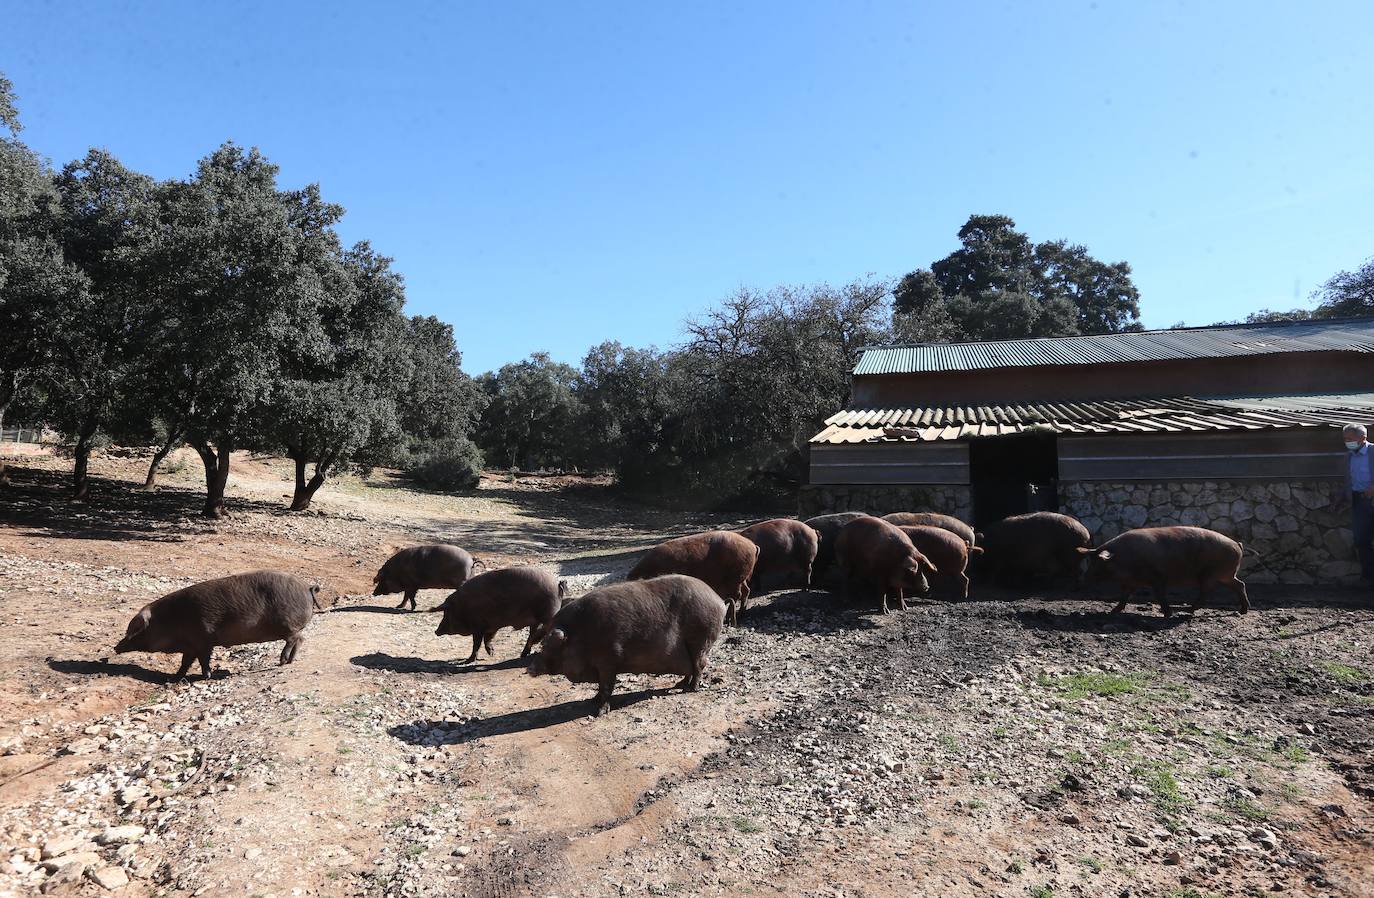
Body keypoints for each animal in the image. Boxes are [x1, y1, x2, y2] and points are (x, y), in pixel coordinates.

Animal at [112, 571, 316, 683]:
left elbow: (203, 660)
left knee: (295, 639)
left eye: (133, 630)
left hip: (287, 625)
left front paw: (205, 676)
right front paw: (174, 678)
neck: (171, 620)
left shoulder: (203, 640)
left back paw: (282, 661)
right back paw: (289, 662)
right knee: (301, 639)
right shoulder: (191, 646)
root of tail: (306, 587)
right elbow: (185, 662)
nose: (115, 647)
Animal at [439, 571, 568, 661]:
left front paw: (468, 661)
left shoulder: (478, 627)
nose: (436, 631)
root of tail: (558, 583)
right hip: (537, 620)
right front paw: (492, 653)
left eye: (447, 612)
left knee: (546, 628)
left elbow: (477, 643)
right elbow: (487, 639)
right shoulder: (491, 626)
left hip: (548, 613)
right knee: (533, 633)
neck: (463, 606)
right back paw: (523, 654)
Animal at [522, 576, 725, 719]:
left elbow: (606, 687)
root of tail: (719, 601)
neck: (580, 634)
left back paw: (690, 689)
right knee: (689, 668)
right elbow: (600, 688)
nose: (529, 669)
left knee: (699, 665)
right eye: (544, 644)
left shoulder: (608, 662)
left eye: (549, 646)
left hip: (701, 641)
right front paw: (592, 700)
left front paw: (599, 712)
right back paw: (680, 685)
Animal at [629, 535, 758, 626]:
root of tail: (752, 545)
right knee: (746, 591)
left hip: (735, 578)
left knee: (737, 594)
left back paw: (729, 620)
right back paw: (741, 614)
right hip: (741, 578)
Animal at [1077, 527, 1253, 620]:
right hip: (1226, 575)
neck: (1125, 558)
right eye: (1090, 561)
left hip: (1212, 575)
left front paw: (1168, 614)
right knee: (1240, 584)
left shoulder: (1158, 578)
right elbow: (1124, 596)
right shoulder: (1130, 582)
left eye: (1097, 562)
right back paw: (1242, 611)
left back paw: (1187, 612)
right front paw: (1112, 612)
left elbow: (1160, 595)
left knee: (1207, 592)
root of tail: (1237, 544)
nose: (1083, 578)